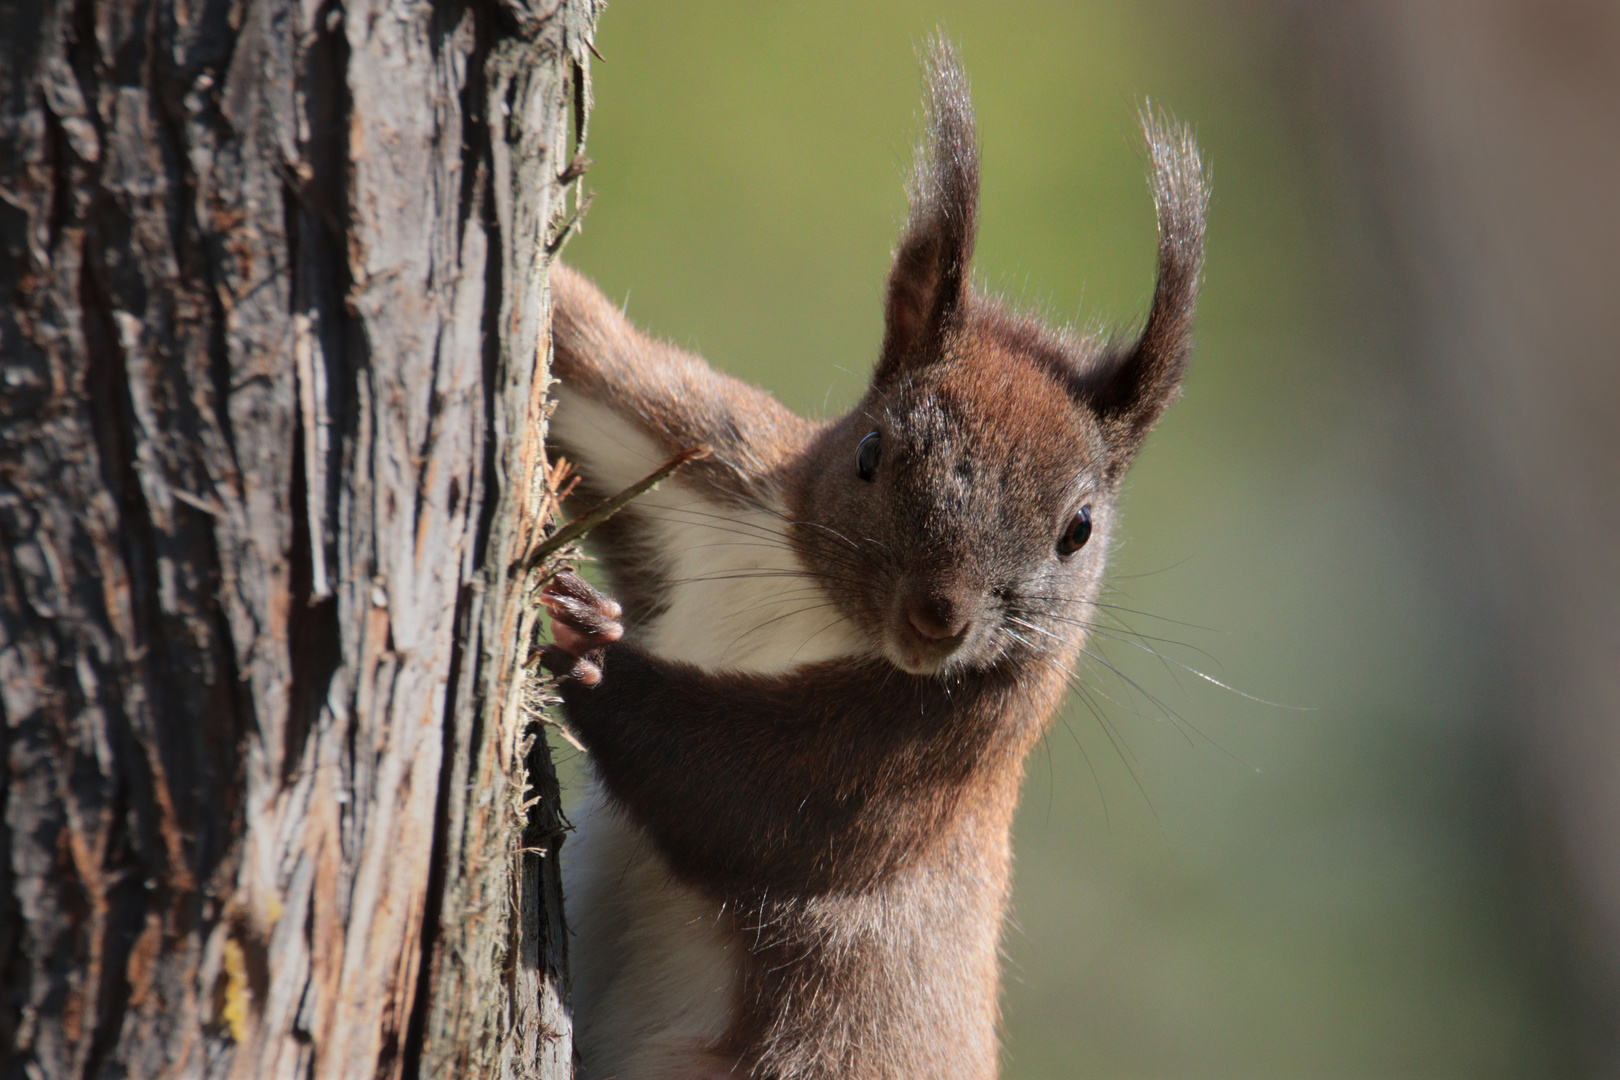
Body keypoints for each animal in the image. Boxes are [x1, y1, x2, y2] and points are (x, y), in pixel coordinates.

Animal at [541, 38, 1205, 1080]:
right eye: (869, 450)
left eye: (1080, 529)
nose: (940, 617)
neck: (823, 607)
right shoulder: (722, 470)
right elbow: (593, 361)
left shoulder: (944, 751)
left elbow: (746, 794)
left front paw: (586, 644)